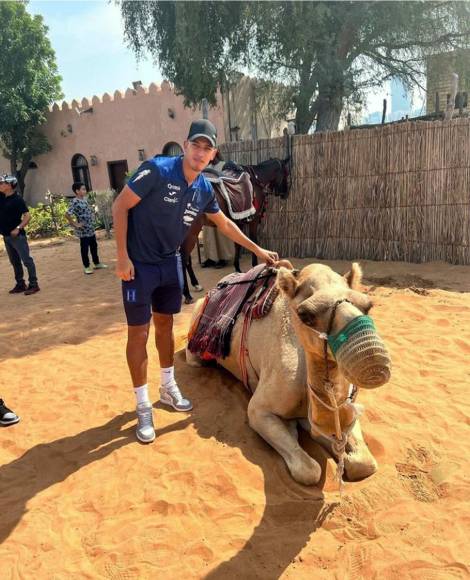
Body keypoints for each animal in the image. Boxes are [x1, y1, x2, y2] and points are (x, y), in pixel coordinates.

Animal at [180, 156, 290, 306]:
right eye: (286, 173)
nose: (286, 194)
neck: (256, 179)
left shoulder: (239, 222)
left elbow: (238, 243)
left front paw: (237, 268)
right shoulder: (253, 220)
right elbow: (253, 241)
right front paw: (255, 266)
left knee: (186, 259)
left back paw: (195, 284)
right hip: (191, 232)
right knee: (183, 258)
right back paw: (187, 293)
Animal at [185, 262, 392, 484]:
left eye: (368, 305)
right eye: (305, 315)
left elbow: (364, 463)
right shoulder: (259, 410)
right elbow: (309, 470)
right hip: (195, 346)